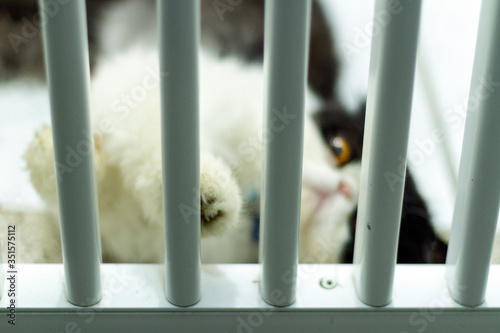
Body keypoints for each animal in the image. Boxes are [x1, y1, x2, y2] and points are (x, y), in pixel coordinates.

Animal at [24, 46, 360, 264]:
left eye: (356, 225)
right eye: (339, 148)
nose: (349, 188)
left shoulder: (133, 241)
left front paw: (205, 205)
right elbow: (151, 151)